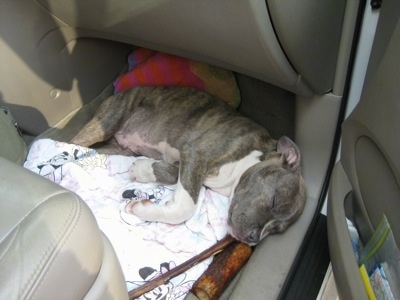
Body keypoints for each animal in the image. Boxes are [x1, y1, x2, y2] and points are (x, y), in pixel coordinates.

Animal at [71, 85, 306, 245]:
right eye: (274, 200)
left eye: (276, 229)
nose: (253, 239)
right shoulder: (197, 152)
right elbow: (185, 207)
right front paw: (141, 208)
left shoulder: (186, 159)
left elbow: (170, 174)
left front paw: (141, 169)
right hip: (108, 122)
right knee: (75, 141)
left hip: (117, 148)